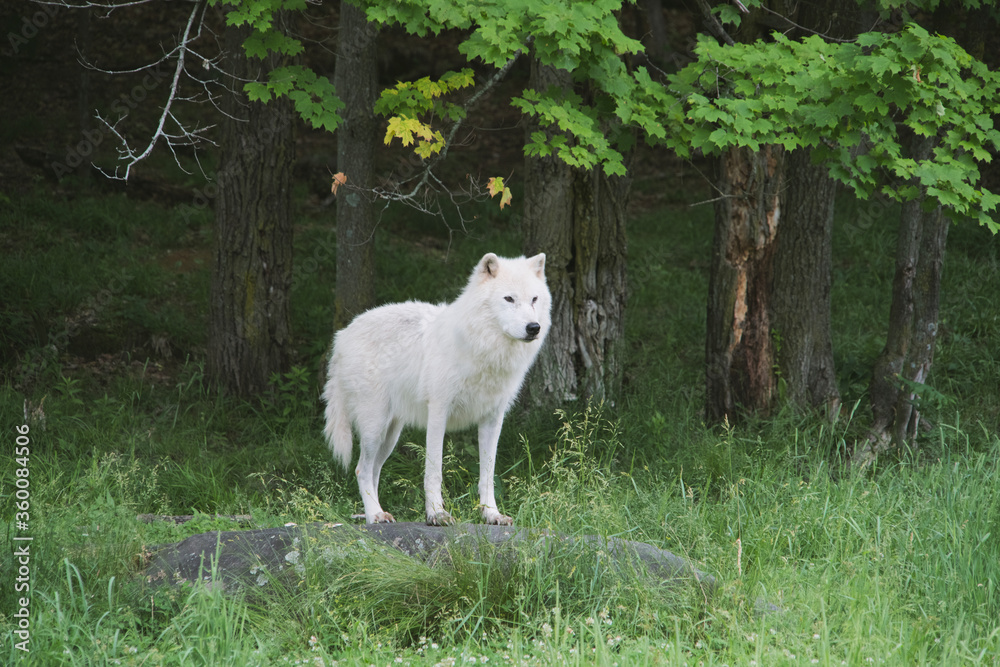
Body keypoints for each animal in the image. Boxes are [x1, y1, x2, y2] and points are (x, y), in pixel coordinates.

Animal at [322, 252, 551, 526]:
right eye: (509, 298)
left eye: (534, 299)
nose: (533, 327)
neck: (483, 348)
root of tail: (342, 336)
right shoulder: (438, 411)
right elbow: (434, 471)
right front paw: (436, 514)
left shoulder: (493, 419)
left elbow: (487, 474)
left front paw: (491, 514)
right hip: (374, 427)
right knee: (362, 469)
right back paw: (375, 514)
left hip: (390, 435)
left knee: (374, 470)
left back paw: (373, 514)